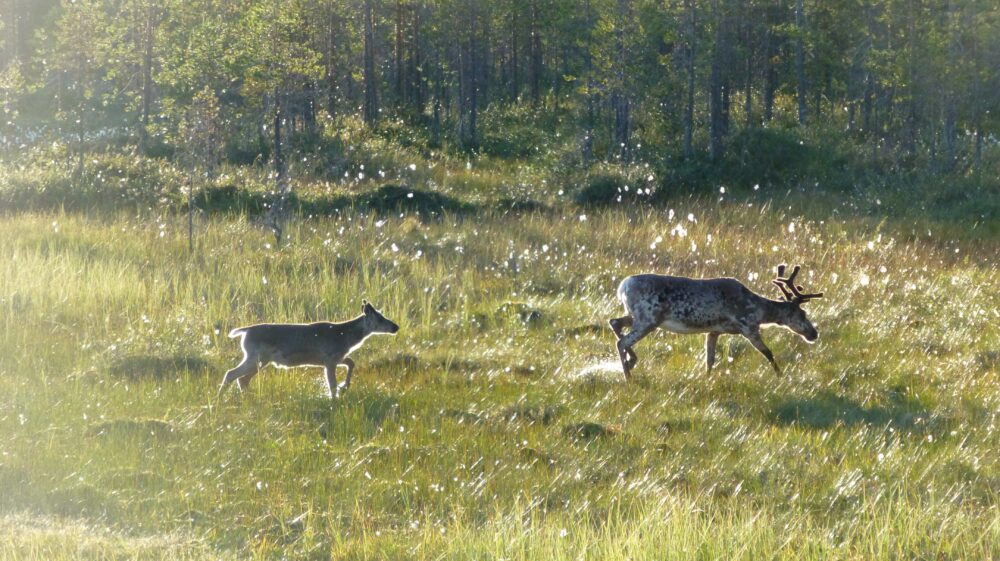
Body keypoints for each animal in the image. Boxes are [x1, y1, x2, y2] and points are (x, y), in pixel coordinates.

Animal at [218, 301, 400, 399]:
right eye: (380, 318)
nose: (396, 327)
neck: (346, 337)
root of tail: (245, 331)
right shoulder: (330, 358)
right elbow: (332, 384)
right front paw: (335, 398)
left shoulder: (337, 357)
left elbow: (351, 362)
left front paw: (345, 386)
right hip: (256, 357)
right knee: (231, 374)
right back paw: (220, 399)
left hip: (261, 360)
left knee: (243, 379)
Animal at [609, 265, 823, 379]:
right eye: (802, 313)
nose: (814, 333)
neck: (758, 309)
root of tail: (623, 286)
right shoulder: (748, 326)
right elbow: (768, 353)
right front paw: (780, 376)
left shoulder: (714, 331)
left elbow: (709, 359)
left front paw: (707, 378)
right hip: (648, 317)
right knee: (622, 341)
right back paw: (628, 375)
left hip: (636, 316)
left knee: (615, 322)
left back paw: (631, 362)